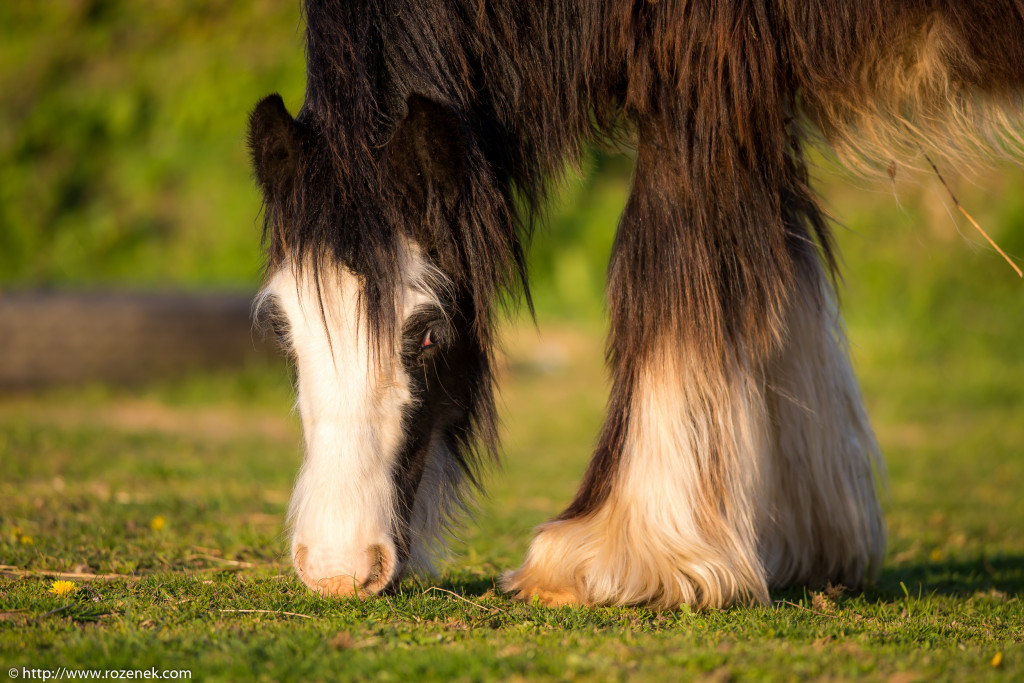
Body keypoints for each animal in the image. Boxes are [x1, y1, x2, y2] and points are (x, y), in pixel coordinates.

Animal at [247, 0, 1024, 610]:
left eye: (429, 333)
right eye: (284, 333)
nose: (338, 569)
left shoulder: (699, 80)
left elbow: (667, 282)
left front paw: (610, 558)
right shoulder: (757, 97)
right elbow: (784, 293)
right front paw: (806, 541)